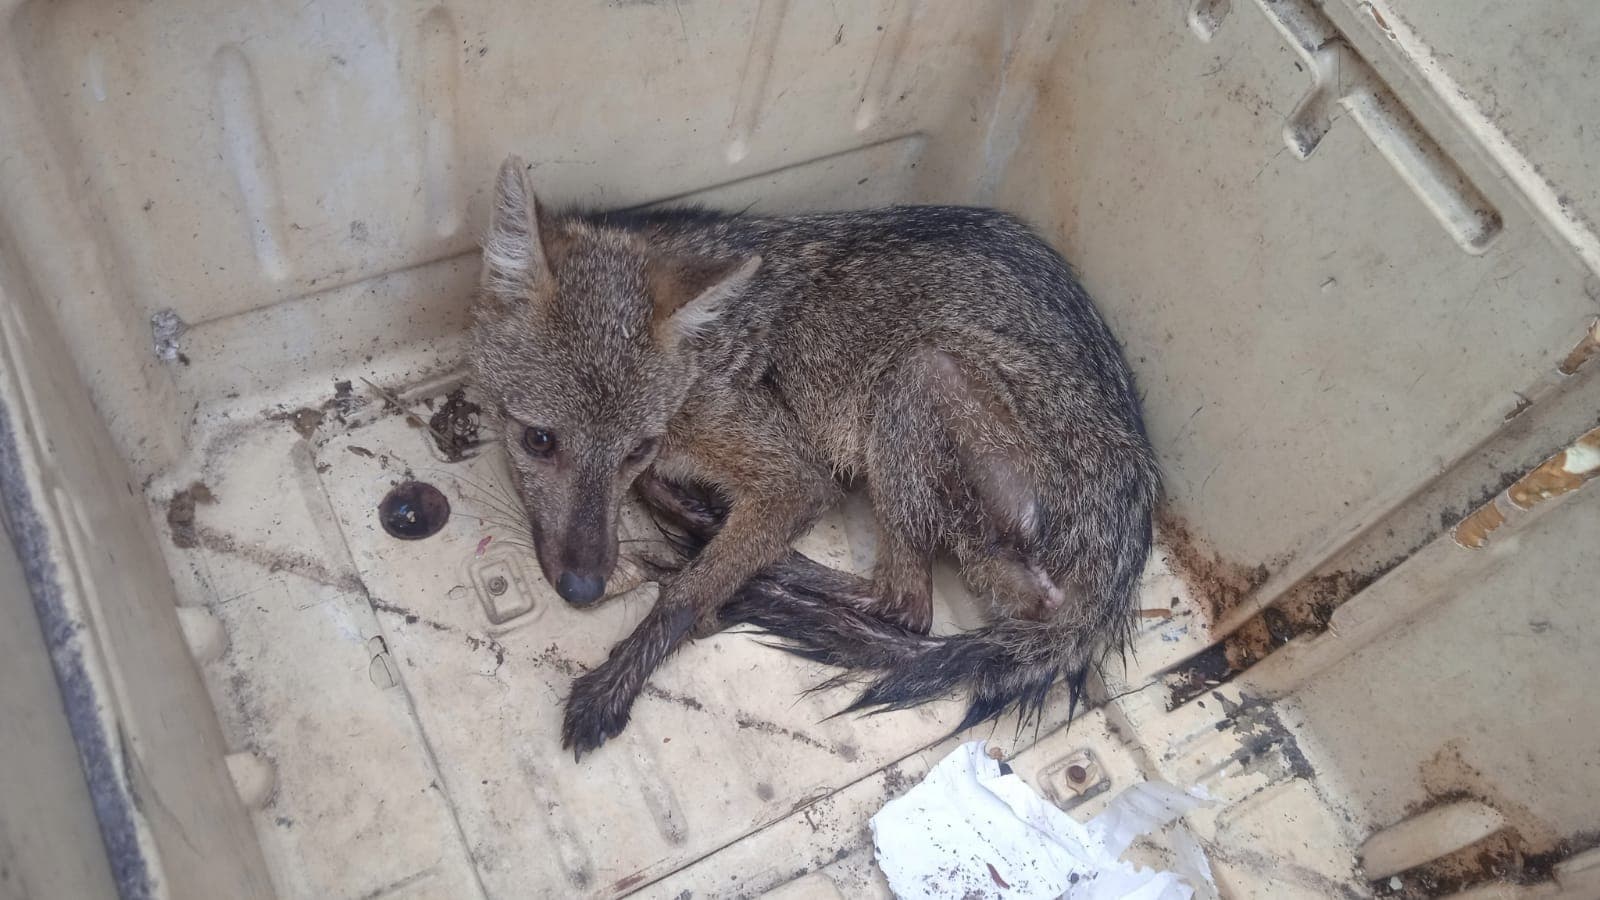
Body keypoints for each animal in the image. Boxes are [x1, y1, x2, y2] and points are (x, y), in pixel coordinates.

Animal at [468, 156, 1160, 759]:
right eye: (539, 440)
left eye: (636, 448)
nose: (582, 589)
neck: (700, 364)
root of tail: (1122, 559)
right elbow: (658, 496)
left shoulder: (794, 478)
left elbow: (686, 592)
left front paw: (620, 679)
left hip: (916, 374)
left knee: (905, 606)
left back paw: (762, 571)